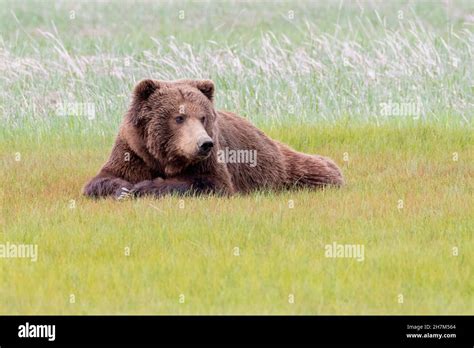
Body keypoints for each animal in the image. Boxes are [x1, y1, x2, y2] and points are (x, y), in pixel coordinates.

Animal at [84, 79, 344, 198]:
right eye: (179, 117)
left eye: (203, 117)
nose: (204, 144)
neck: (165, 158)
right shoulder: (133, 150)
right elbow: (102, 179)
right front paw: (125, 188)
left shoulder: (213, 159)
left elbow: (210, 183)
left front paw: (144, 187)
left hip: (279, 167)